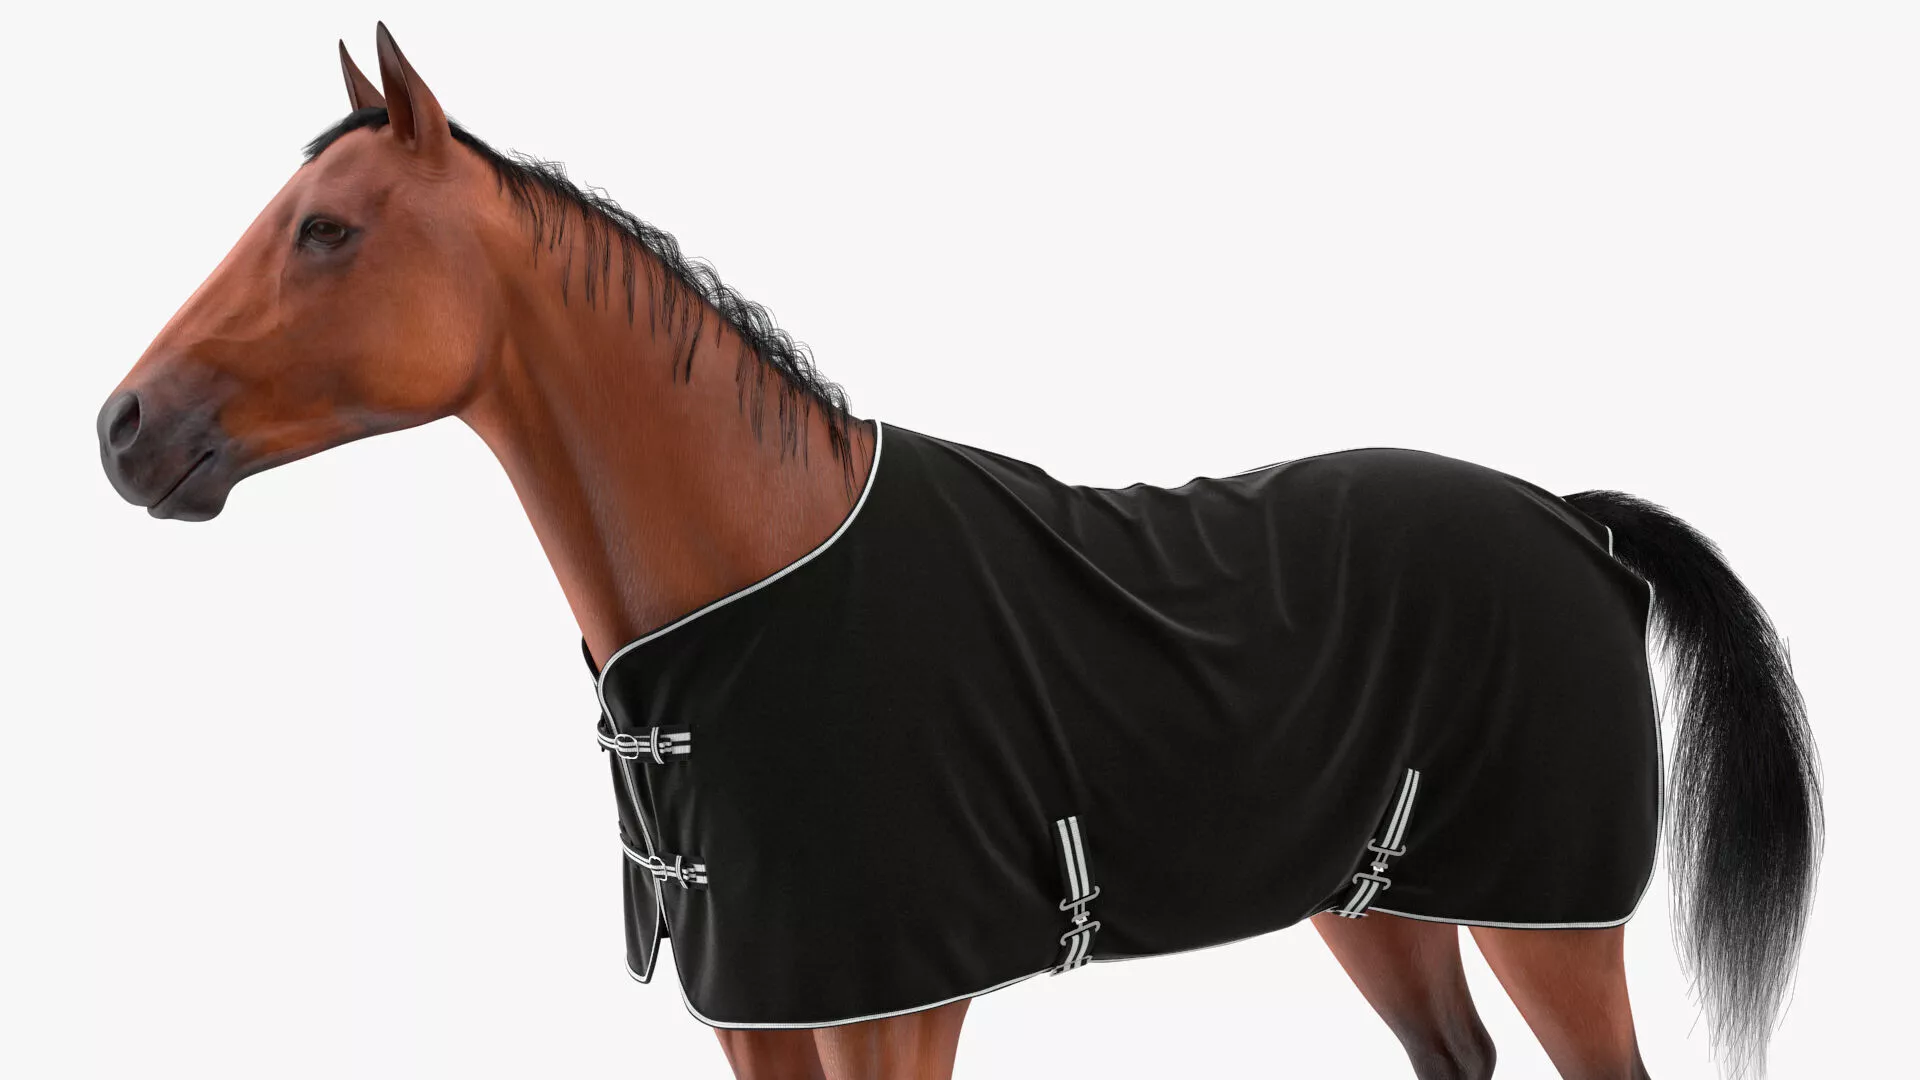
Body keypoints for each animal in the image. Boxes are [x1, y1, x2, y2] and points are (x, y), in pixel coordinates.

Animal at [98, 25, 1821, 1080]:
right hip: (1377, 907)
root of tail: (1575, 519)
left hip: (1555, 927)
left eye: (328, 230)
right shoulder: (762, 1015)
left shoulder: (897, 1010)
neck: (759, 587)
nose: (122, 431)